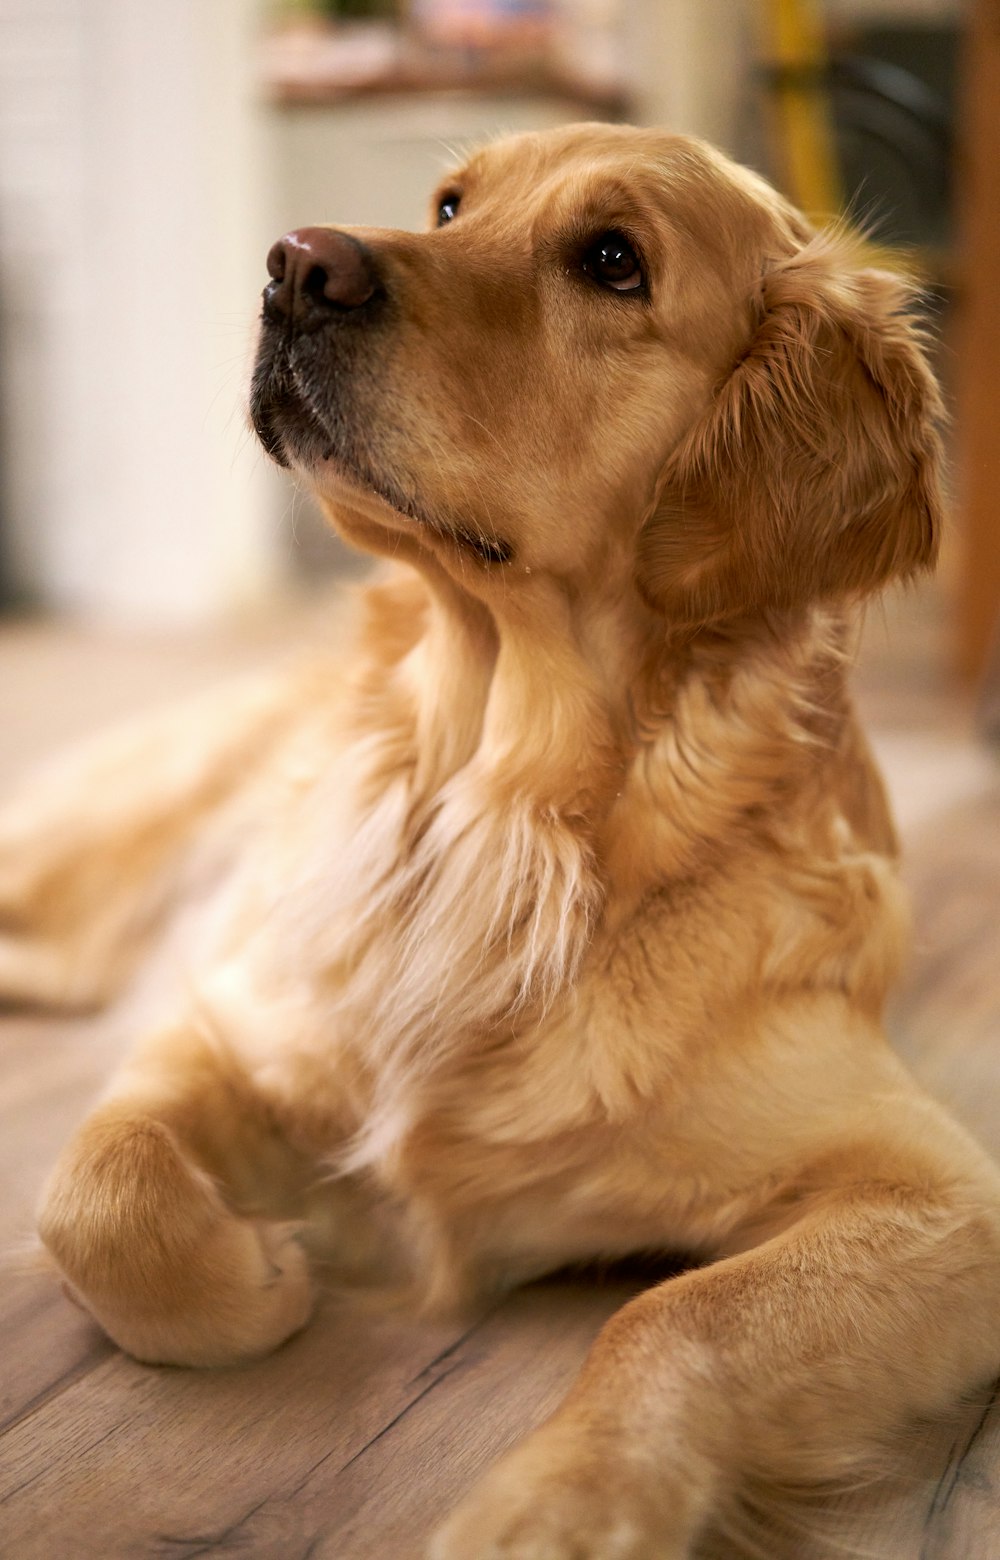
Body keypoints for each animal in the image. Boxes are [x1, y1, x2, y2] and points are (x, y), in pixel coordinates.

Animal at [1, 124, 998, 1560]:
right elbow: (101, 1195)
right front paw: (256, 1270)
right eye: (449, 205)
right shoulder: (220, 1020)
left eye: (614, 261)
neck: (492, 803)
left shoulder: (934, 1190)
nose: (296, 266)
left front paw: (558, 1507)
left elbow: (671, 1317)